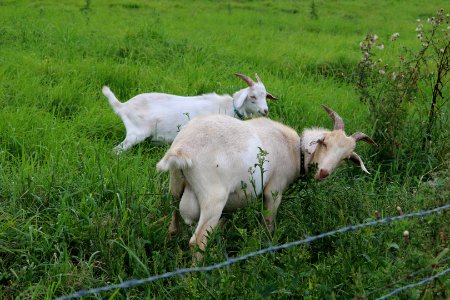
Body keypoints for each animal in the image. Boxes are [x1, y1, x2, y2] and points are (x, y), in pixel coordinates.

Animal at [102, 72, 278, 152]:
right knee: (117, 150)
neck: (228, 107)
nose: (265, 111)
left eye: (265, 96)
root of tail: (123, 106)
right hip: (136, 133)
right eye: (252, 96)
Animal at [156, 105, 378, 258]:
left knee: (174, 227)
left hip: (175, 186)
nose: (323, 172)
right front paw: (268, 248)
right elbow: (269, 224)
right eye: (325, 143)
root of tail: (183, 149)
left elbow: (224, 223)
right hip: (213, 197)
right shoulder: (274, 191)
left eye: (345, 157)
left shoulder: (231, 205)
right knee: (198, 241)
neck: (295, 150)